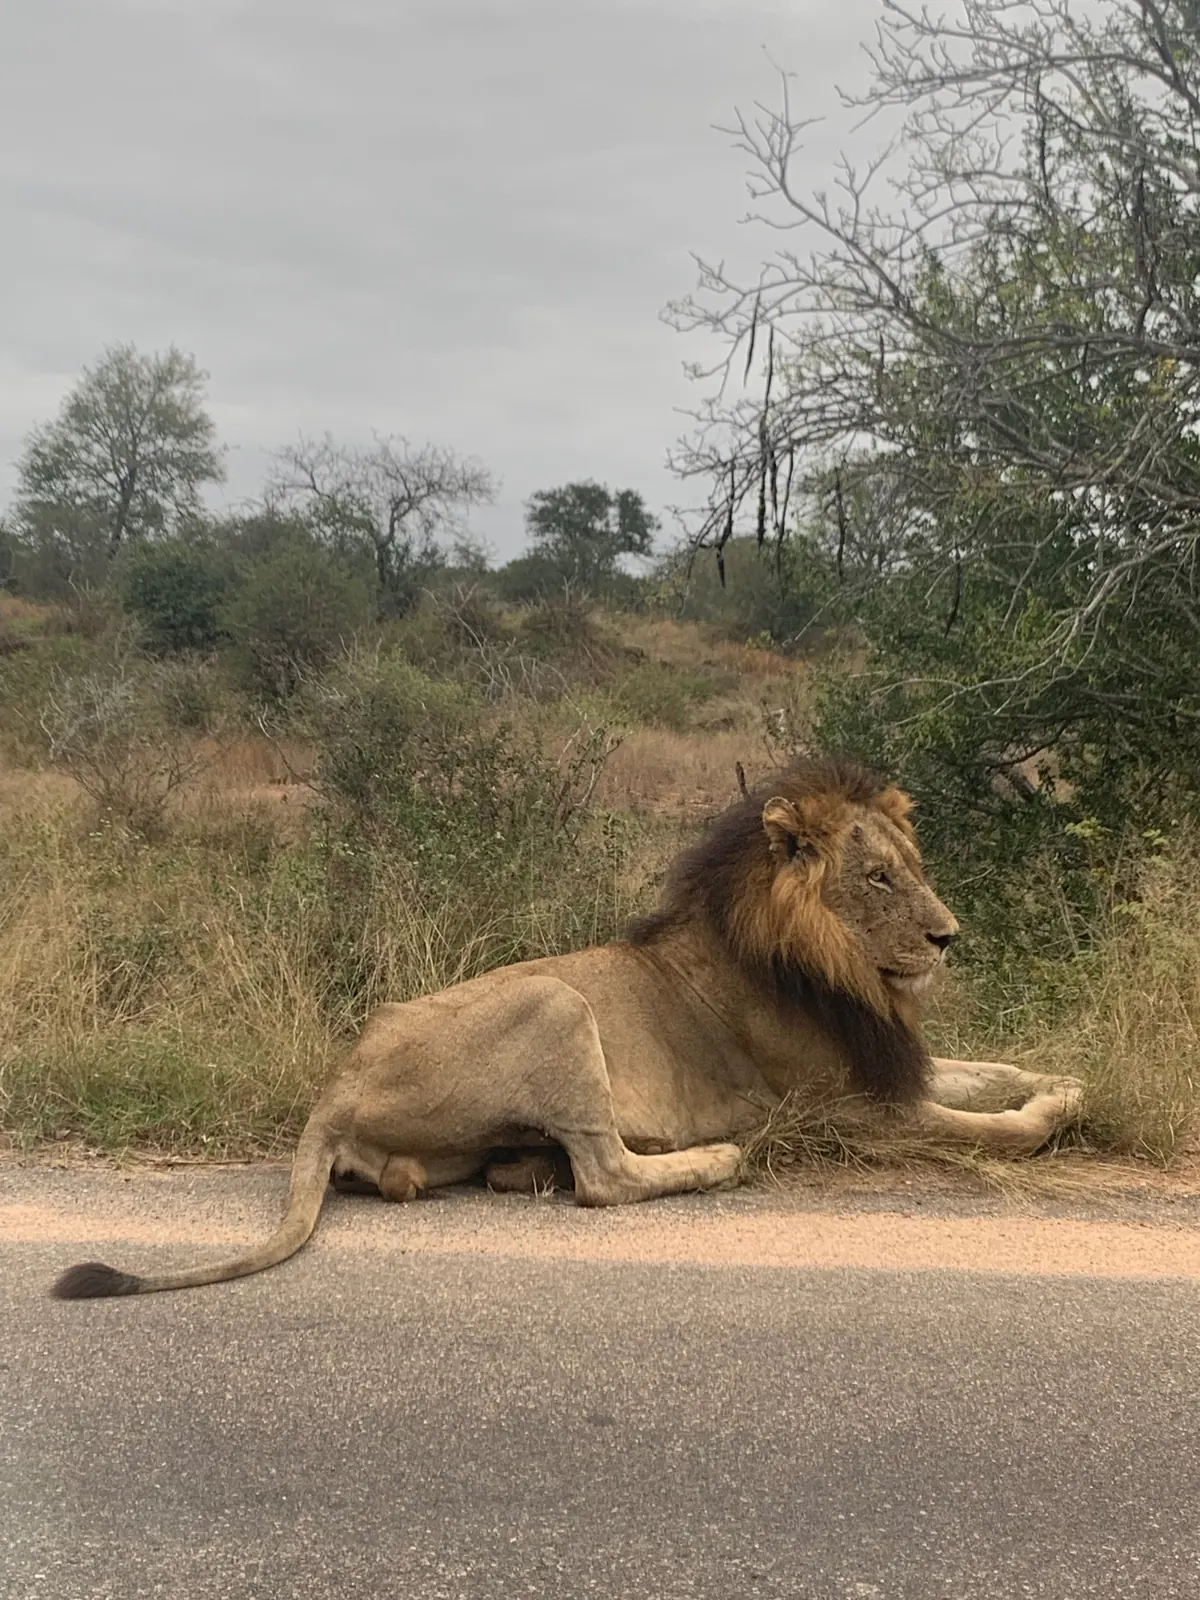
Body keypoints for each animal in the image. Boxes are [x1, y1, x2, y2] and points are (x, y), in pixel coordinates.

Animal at [51, 758, 1083, 1300]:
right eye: (877, 878)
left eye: (916, 868)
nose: (950, 935)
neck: (840, 971)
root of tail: (333, 1089)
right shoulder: (847, 1112)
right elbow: (991, 1127)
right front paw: (1049, 1116)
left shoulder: (889, 1068)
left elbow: (995, 1072)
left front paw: (1069, 1082)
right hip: (558, 1002)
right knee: (605, 1177)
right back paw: (711, 1159)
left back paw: (522, 1168)